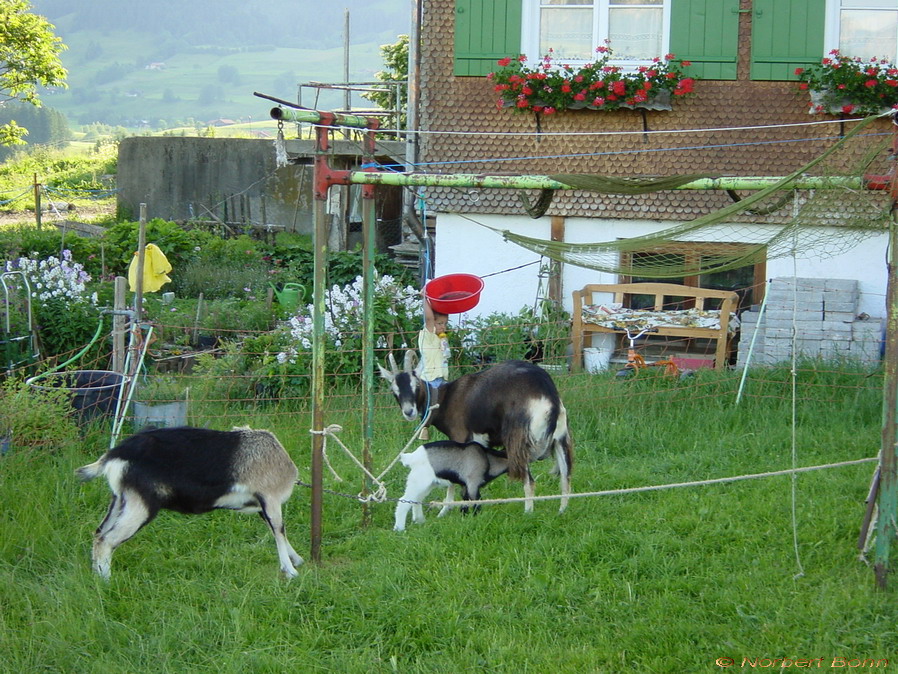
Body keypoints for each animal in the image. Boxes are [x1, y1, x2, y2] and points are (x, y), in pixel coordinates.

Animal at [75, 426, 302, 576]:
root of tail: (114, 455)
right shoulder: (270, 498)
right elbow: (279, 530)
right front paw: (290, 571)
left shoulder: (262, 506)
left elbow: (275, 530)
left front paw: (297, 560)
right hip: (140, 504)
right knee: (107, 539)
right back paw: (106, 580)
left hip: (120, 499)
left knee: (99, 533)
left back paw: (96, 575)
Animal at [374, 354, 572, 512]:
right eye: (394, 390)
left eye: (416, 384)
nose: (409, 412)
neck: (444, 399)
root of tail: (547, 393)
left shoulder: (460, 439)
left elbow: (454, 479)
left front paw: (447, 510)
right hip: (561, 438)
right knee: (566, 478)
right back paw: (562, 512)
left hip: (518, 441)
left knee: (530, 481)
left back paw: (528, 513)